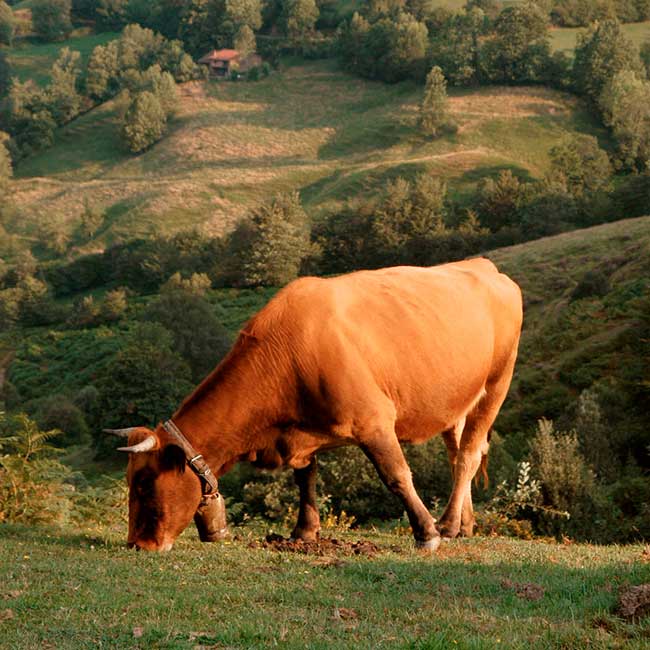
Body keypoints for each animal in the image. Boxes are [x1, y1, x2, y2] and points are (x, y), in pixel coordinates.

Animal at [106, 258, 520, 552]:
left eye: (144, 483)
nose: (137, 545)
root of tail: (484, 266)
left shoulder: (374, 420)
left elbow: (396, 475)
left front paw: (426, 532)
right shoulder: (298, 433)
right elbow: (305, 478)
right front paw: (304, 531)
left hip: (497, 382)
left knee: (468, 454)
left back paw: (447, 525)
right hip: (457, 400)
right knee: (456, 453)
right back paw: (464, 524)